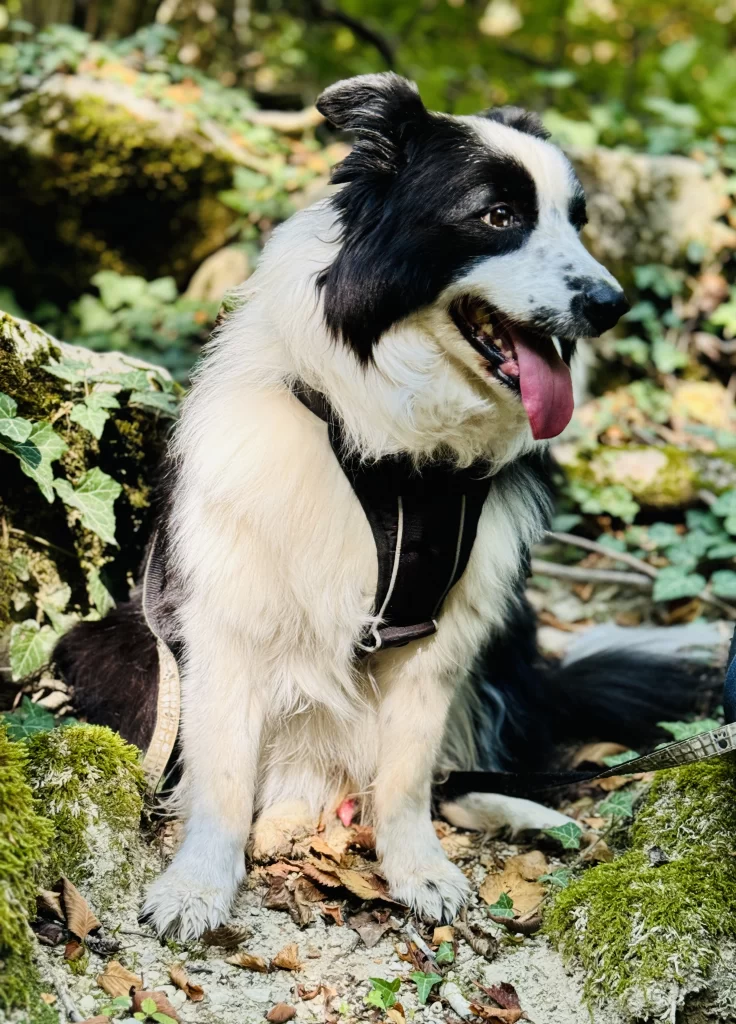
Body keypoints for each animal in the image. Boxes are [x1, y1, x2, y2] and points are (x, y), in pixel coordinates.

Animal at [54, 70, 704, 937]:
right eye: (498, 217)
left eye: (578, 221)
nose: (611, 304)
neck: (393, 454)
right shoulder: (225, 614)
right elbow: (221, 777)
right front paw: (196, 886)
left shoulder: (445, 631)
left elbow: (407, 775)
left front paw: (418, 870)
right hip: (120, 648)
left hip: (507, 638)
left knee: (456, 775)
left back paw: (526, 815)